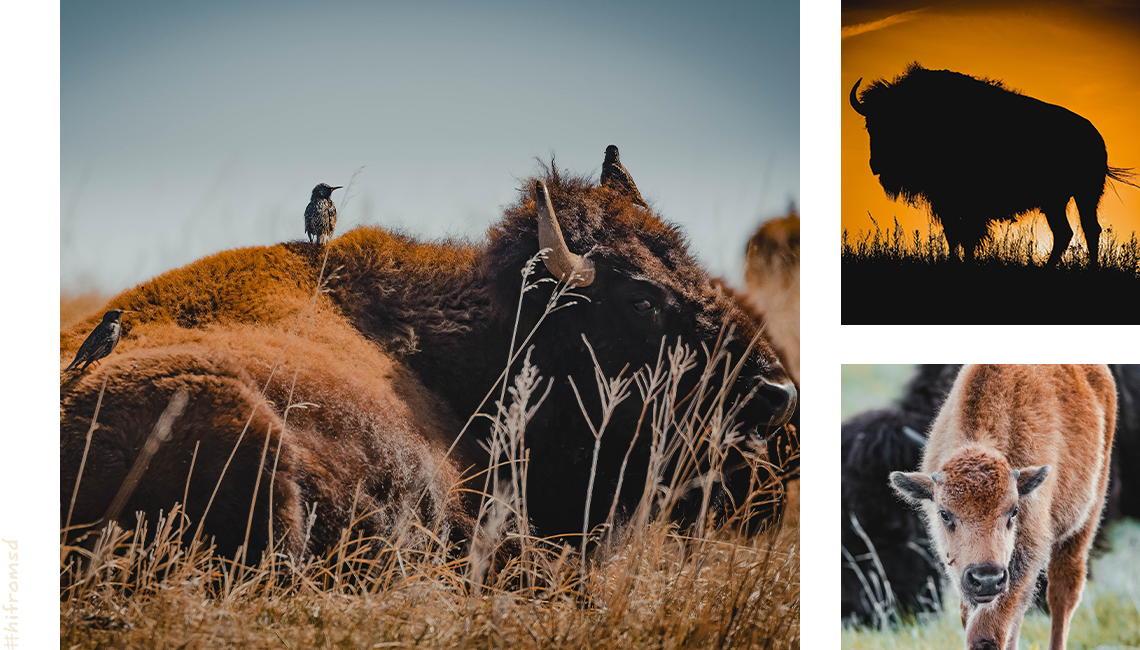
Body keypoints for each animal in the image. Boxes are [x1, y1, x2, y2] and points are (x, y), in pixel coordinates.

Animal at [850, 62, 1136, 268]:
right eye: (870, 125)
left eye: (898, 123)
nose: (876, 165)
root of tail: (1094, 135)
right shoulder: (945, 202)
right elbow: (953, 235)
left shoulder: (970, 205)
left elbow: (968, 236)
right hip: (1056, 201)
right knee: (1067, 232)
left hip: (1084, 194)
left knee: (1088, 229)